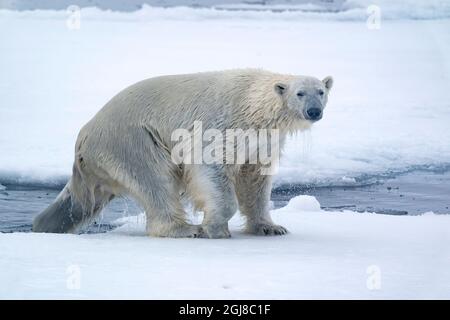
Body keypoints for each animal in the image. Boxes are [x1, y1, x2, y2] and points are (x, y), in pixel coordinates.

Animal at [31, 69, 332, 238]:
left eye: (321, 91)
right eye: (300, 93)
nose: (314, 111)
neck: (251, 101)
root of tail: (83, 138)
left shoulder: (262, 139)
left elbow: (255, 178)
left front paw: (270, 227)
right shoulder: (220, 124)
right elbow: (209, 164)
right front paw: (214, 226)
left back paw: (44, 224)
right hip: (131, 140)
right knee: (155, 180)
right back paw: (186, 229)